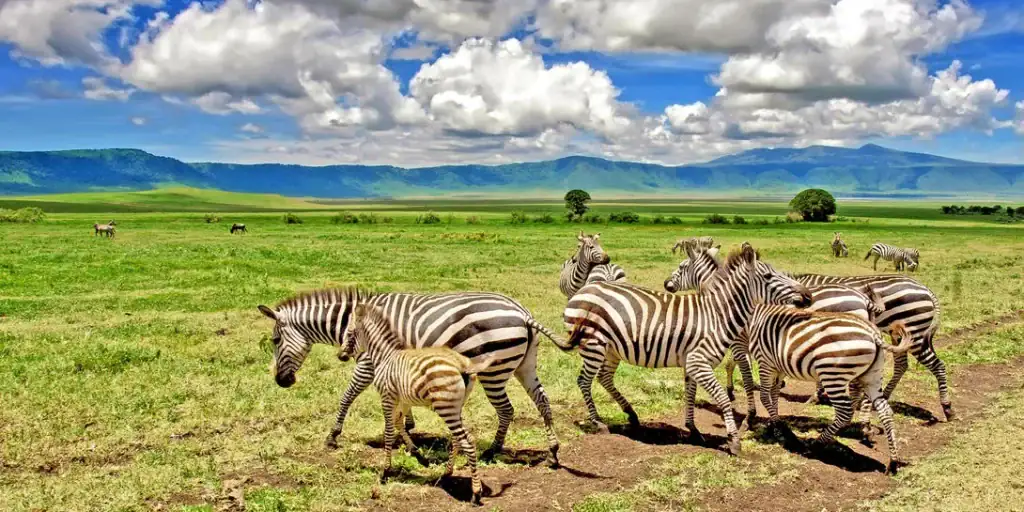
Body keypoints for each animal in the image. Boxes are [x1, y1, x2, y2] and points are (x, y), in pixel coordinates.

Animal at [256, 286, 578, 466]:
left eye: (275, 341)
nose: (282, 381)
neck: (353, 321)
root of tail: (522, 312)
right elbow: (401, 402)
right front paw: (408, 427)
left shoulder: (367, 363)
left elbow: (347, 396)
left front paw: (333, 436)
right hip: (525, 365)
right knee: (542, 401)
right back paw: (553, 452)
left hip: (494, 370)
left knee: (506, 409)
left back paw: (493, 451)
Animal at [338, 303, 493, 504]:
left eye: (349, 333)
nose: (340, 355)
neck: (385, 356)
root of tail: (463, 365)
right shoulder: (403, 399)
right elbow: (399, 423)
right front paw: (417, 454)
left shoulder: (387, 397)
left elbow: (389, 432)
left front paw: (385, 472)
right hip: (455, 407)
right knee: (462, 438)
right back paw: (446, 474)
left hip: (446, 407)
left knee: (466, 442)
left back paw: (475, 493)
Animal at [563, 243, 812, 455]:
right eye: (769, 276)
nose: (808, 295)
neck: (717, 315)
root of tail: (584, 289)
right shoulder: (698, 361)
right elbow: (723, 398)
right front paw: (733, 440)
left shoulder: (692, 363)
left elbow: (690, 395)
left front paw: (693, 429)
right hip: (594, 345)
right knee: (584, 381)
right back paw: (598, 422)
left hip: (612, 349)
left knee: (604, 378)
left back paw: (631, 414)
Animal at [733, 306, 914, 474]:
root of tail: (873, 332)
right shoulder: (779, 366)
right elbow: (774, 393)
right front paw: (774, 424)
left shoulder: (766, 363)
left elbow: (765, 396)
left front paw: (781, 429)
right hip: (873, 377)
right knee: (885, 412)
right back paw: (893, 462)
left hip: (833, 374)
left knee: (844, 412)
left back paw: (816, 444)